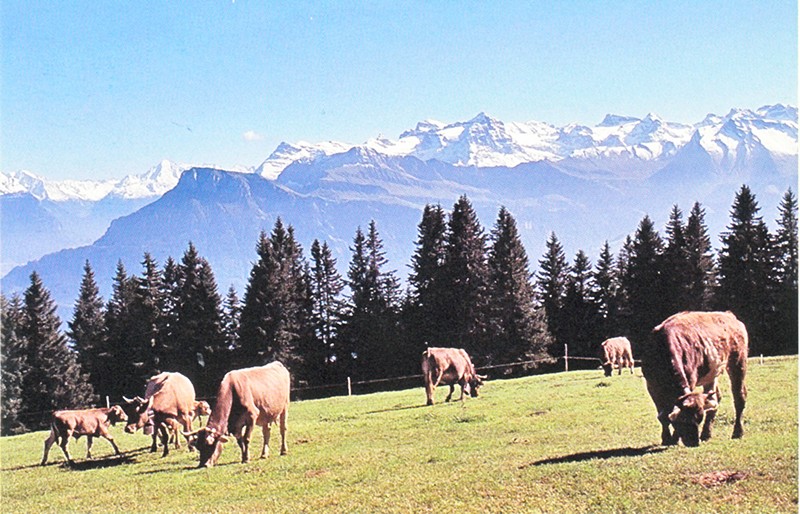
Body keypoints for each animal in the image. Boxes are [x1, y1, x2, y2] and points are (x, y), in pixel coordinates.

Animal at [640, 310, 748, 446]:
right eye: (684, 420)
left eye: (698, 419)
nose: (694, 443)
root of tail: (728, 315)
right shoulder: (652, 385)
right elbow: (663, 415)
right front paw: (666, 439)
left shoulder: (690, 381)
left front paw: (674, 439)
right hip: (711, 374)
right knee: (715, 399)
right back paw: (706, 434)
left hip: (738, 362)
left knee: (739, 397)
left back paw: (738, 432)